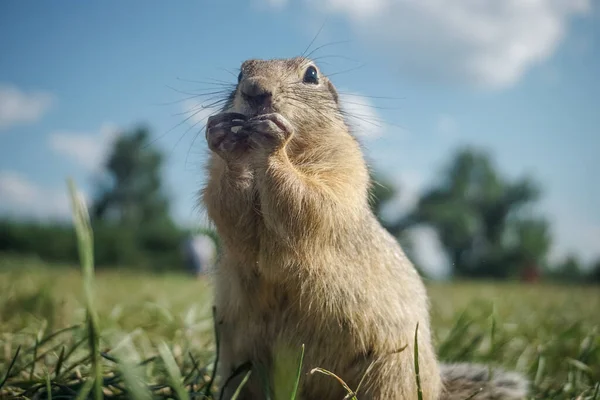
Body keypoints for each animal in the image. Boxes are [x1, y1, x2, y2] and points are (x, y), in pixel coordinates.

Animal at [200, 57, 524, 400]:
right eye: (240, 73)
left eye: (311, 74)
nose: (254, 90)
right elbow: (228, 208)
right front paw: (224, 138)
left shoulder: (343, 163)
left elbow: (312, 199)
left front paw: (274, 141)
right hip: (242, 365)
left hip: (390, 373)